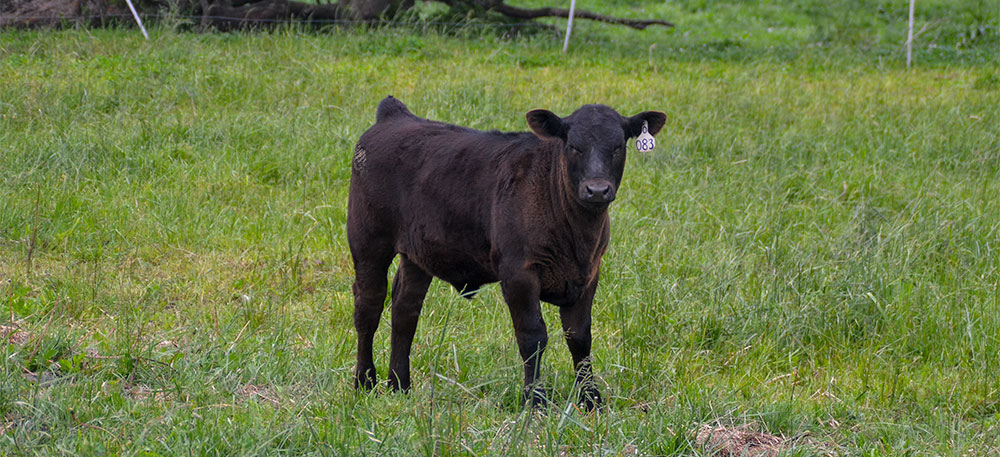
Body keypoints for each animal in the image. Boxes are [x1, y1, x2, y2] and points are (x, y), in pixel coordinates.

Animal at [348, 96, 666, 410]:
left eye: (618, 147)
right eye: (573, 146)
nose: (597, 190)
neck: (576, 236)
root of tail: (396, 115)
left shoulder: (588, 273)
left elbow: (580, 337)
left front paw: (591, 400)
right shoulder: (518, 272)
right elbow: (533, 335)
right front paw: (535, 400)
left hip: (418, 254)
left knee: (405, 309)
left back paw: (399, 385)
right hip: (367, 242)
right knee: (369, 307)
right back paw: (364, 382)